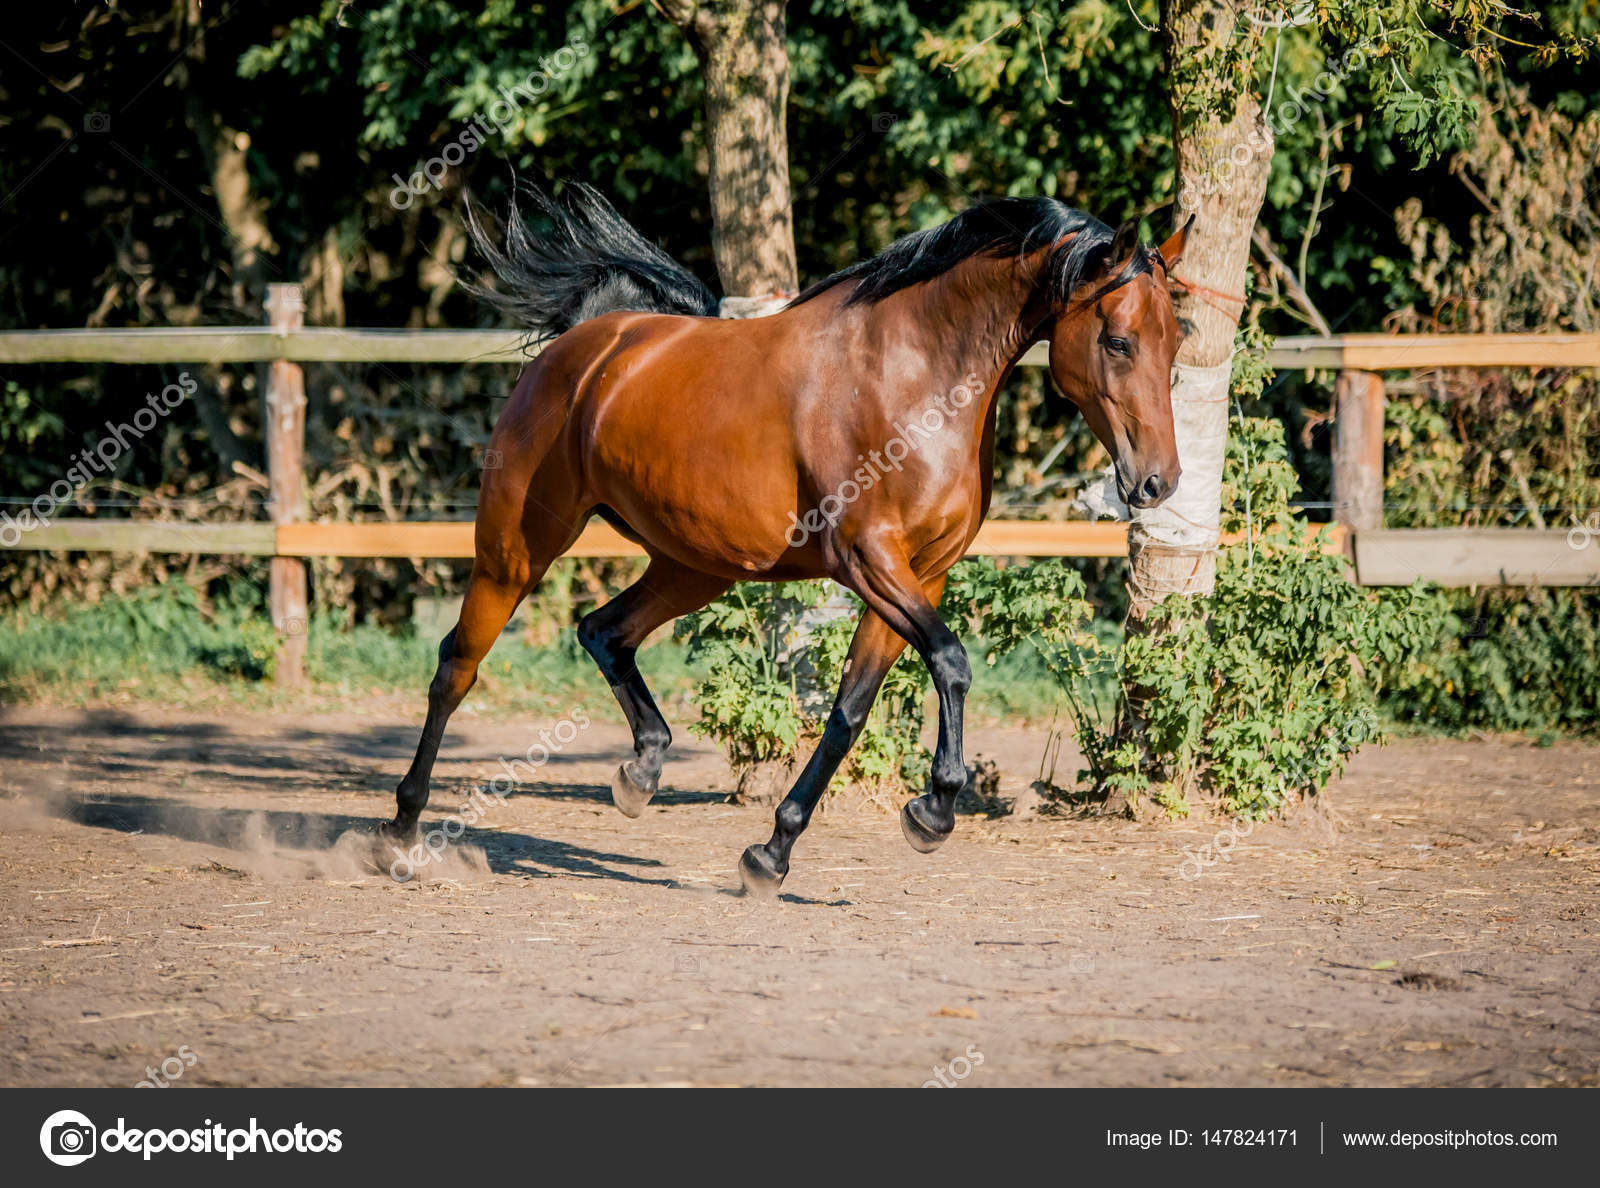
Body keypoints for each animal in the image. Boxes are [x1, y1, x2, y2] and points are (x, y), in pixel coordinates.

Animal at [383, 181, 1189, 897]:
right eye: (1118, 341)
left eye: (1176, 340)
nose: (1159, 482)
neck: (914, 378)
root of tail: (588, 344)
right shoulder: (870, 560)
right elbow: (953, 663)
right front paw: (932, 811)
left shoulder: (920, 574)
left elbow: (851, 709)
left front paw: (771, 855)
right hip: (518, 547)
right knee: (458, 665)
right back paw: (402, 831)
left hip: (695, 565)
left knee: (604, 631)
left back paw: (640, 773)